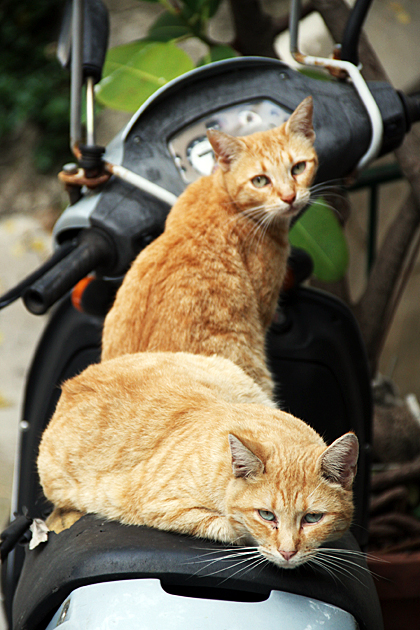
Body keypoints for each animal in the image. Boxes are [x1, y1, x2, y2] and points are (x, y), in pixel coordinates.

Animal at [37, 354, 358, 572]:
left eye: (312, 518)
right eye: (267, 515)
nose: (288, 552)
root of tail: (72, 383)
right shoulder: (160, 505)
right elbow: (227, 527)